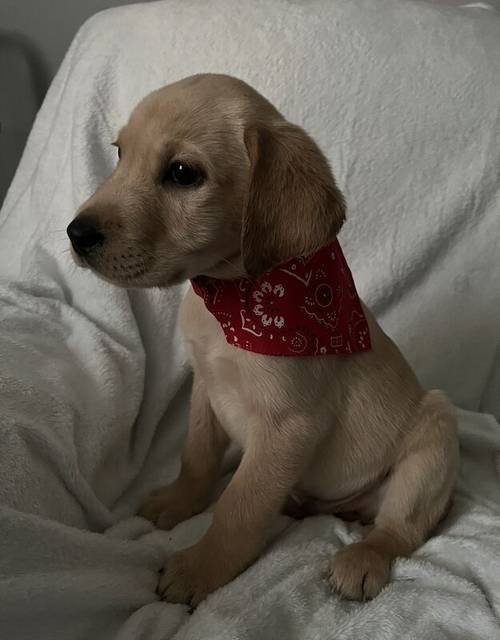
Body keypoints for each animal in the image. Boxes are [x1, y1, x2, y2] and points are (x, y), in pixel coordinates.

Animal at [68, 74, 458, 604]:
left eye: (182, 173)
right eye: (119, 154)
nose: (75, 233)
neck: (230, 299)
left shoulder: (288, 426)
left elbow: (240, 506)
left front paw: (200, 568)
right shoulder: (205, 389)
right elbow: (197, 457)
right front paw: (179, 501)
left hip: (434, 435)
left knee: (398, 529)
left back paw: (362, 558)